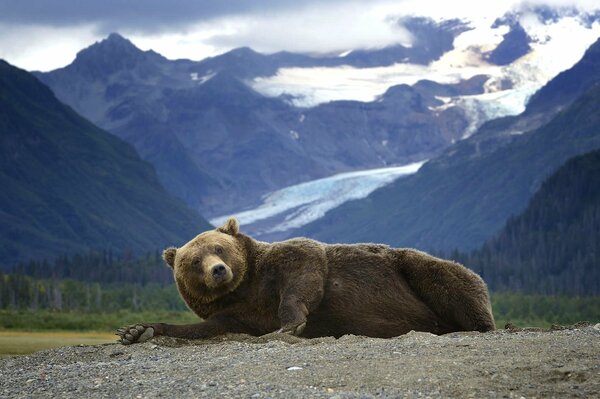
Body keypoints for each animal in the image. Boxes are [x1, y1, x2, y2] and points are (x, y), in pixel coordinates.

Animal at [115, 217, 494, 346]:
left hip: (415, 269)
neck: (245, 289)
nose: (218, 270)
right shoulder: (236, 314)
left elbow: (305, 267)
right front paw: (136, 331)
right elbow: (201, 329)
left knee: (448, 280)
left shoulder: (284, 263)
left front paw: (290, 324)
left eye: (219, 247)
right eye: (195, 260)